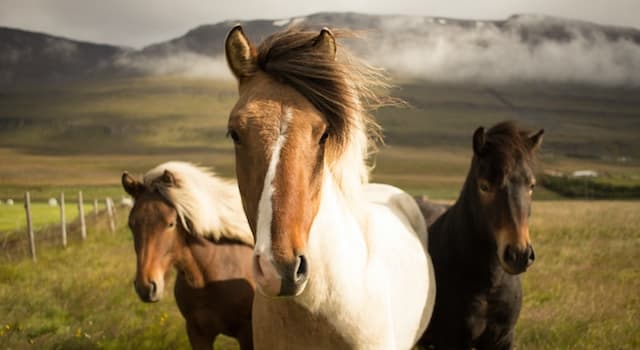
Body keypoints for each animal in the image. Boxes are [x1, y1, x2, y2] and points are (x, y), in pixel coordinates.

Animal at [420, 121, 544, 348]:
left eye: (531, 185)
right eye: (484, 186)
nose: (518, 255)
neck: (488, 286)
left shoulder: (503, 339)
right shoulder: (450, 341)